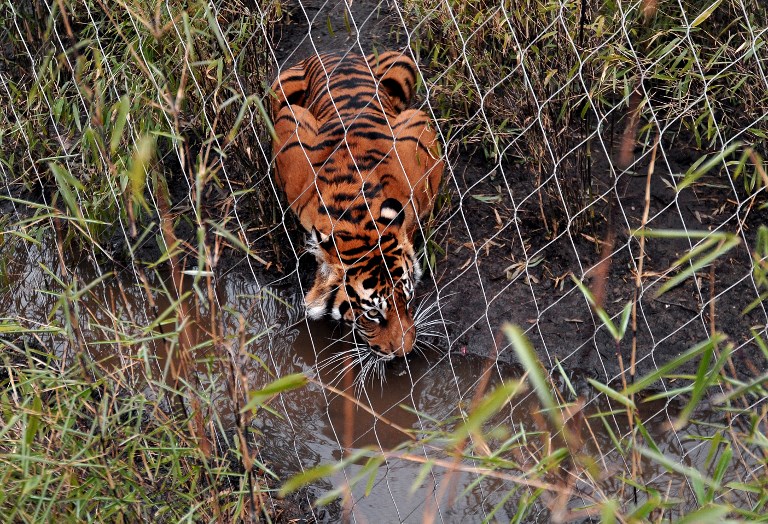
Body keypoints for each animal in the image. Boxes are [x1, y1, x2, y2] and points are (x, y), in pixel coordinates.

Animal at [271, 50, 444, 358]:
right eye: (373, 314)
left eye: (408, 297)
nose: (404, 352)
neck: (357, 215)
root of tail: (332, 54)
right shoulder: (289, 129)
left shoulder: (420, 134)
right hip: (278, 92)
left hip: (402, 66)